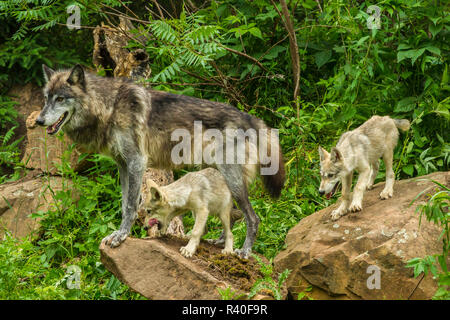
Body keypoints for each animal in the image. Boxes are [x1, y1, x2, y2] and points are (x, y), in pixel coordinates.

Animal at [37, 63, 284, 256]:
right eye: (46, 98)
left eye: (61, 98)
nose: (38, 121)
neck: (109, 106)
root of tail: (249, 117)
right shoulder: (123, 165)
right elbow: (124, 203)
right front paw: (120, 232)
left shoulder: (136, 162)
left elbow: (130, 205)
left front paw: (121, 236)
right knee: (232, 215)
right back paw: (222, 243)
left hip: (233, 180)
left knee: (252, 218)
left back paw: (244, 252)